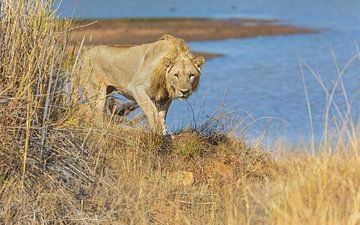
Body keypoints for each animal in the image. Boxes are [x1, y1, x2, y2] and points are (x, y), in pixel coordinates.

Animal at [74, 34, 205, 134]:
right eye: (176, 75)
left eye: (191, 75)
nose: (184, 92)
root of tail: (85, 54)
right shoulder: (136, 87)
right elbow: (151, 111)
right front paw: (157, 132)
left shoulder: (165, 97)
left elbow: (162, 115)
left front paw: (164, 134)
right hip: (95, 91)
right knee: (95, 114)